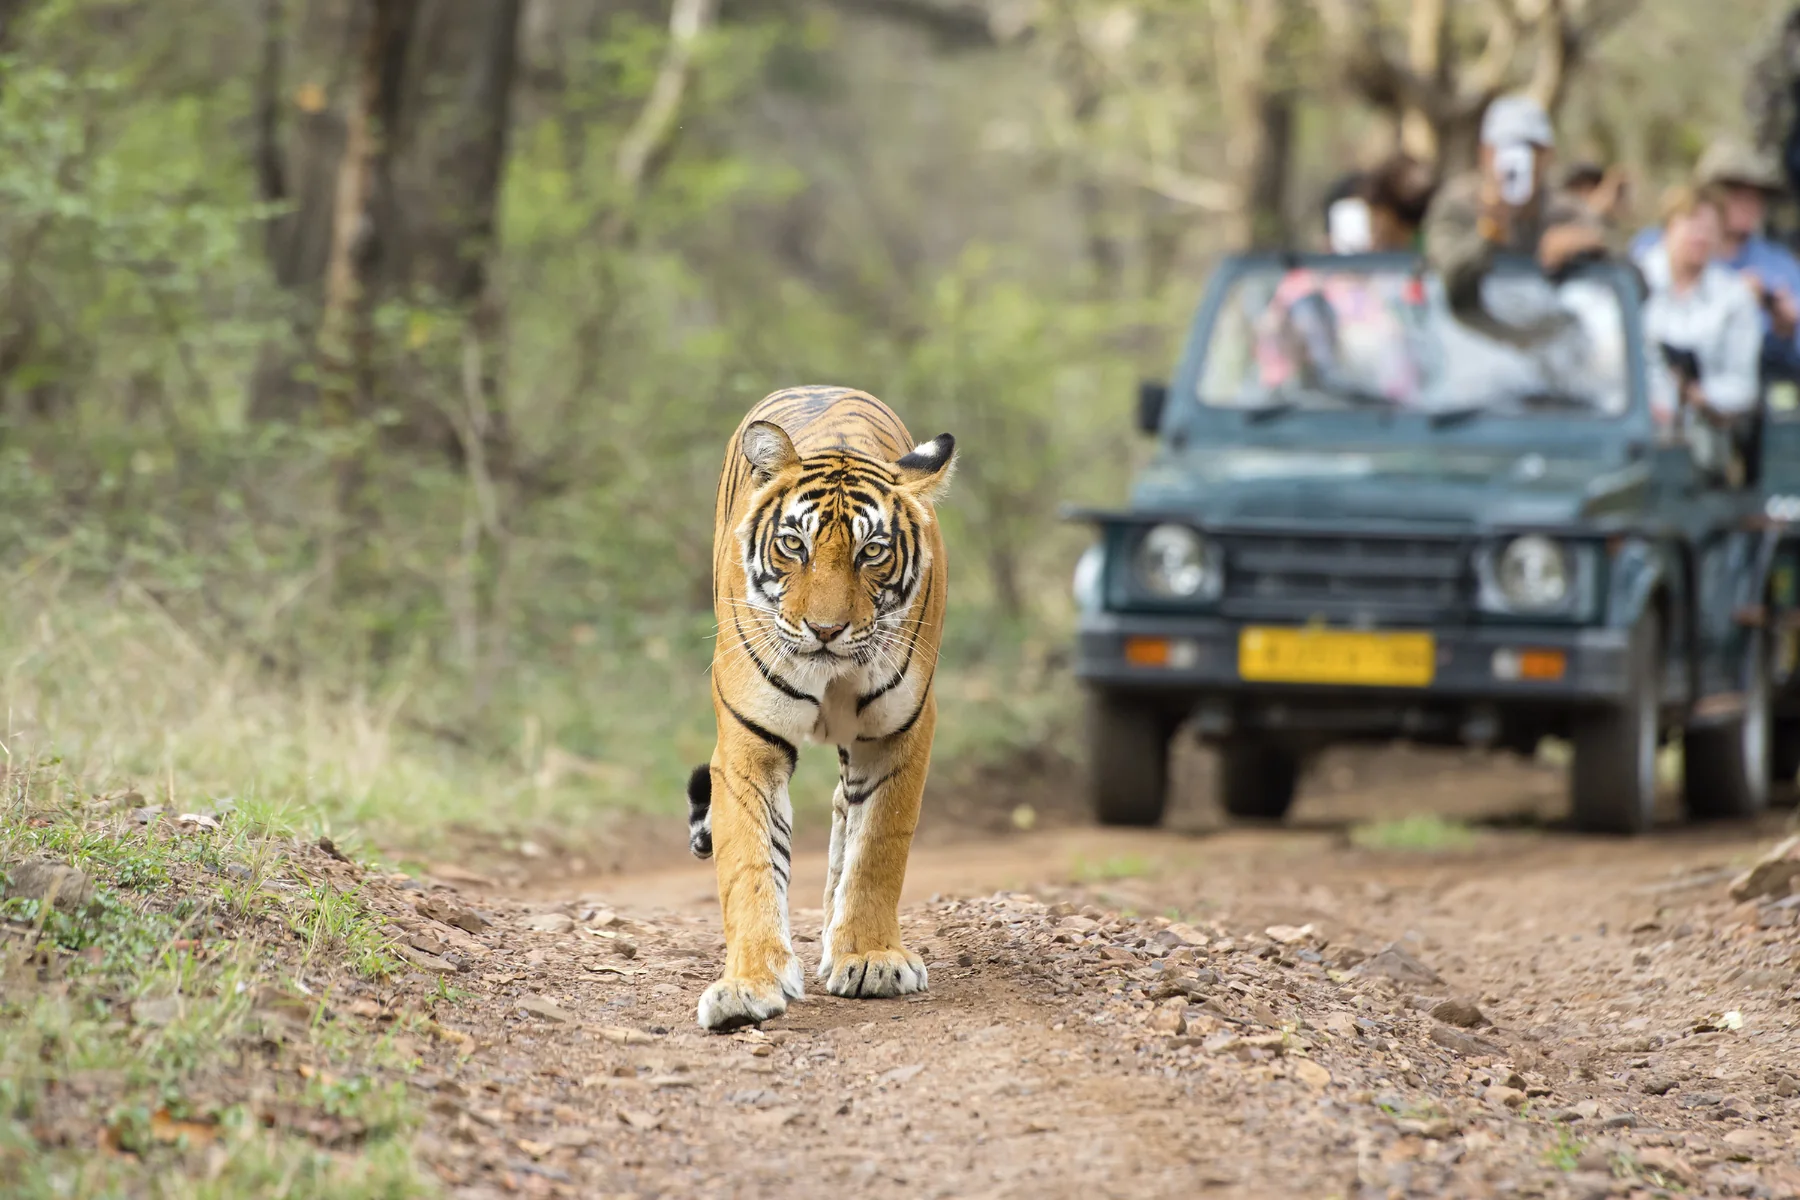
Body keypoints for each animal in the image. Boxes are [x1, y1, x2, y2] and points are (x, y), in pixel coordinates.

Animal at [686, 384, 955, 1031]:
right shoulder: (748, 743)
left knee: (844, 813)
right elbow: (751, 863)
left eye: (872, 552)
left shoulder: (898, 733)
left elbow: (878, 846)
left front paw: (871, 957)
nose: (826, 630)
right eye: (794, 545)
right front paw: (748, 985)